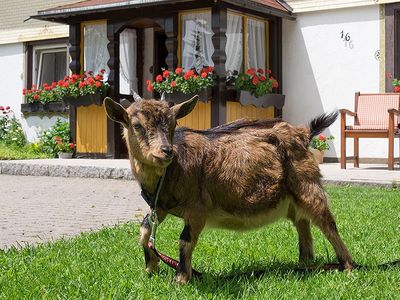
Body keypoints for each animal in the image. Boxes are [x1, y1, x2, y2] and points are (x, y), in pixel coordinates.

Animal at [104, 94, 354, 284]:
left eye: (174, 124)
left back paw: (348, 266)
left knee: (327, 222)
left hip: (307, 184)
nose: (166, 151)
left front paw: (181, 279)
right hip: (292, 196)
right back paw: (304, 263)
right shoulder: (161, 206)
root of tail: (303, 134)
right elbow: (145, 229)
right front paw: (151, 266)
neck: (173, 169)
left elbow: (185, 240)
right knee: (302, 223)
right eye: (136, 125)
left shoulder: (197, 208)